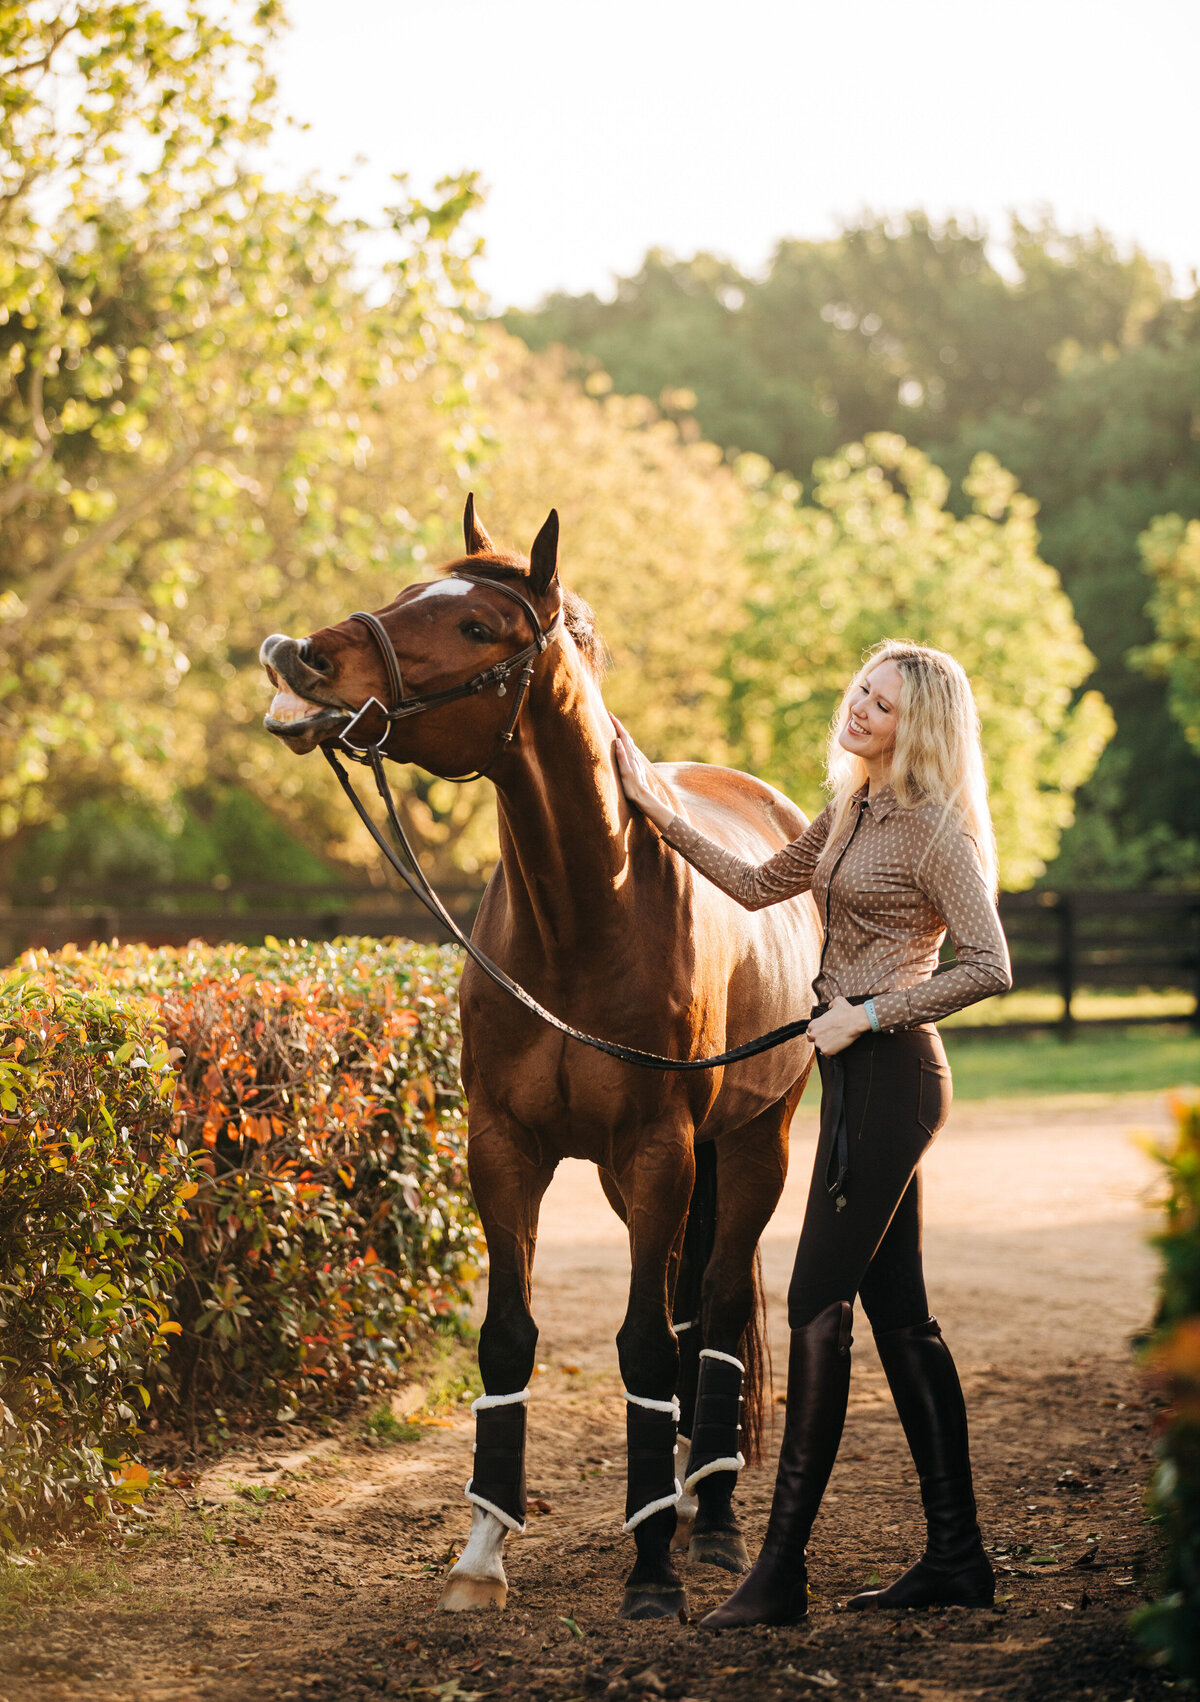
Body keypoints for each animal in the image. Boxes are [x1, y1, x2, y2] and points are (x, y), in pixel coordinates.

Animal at [260, 496, 823, 1613]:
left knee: (718, 1309)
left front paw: (653, 1568)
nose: (304, 659)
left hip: (750, 1148)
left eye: (477, 624)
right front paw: (483, 1552)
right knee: (690, 1311)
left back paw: (712, 1520)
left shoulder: (658, 1152)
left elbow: (643, 1342)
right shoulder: (505, 1151)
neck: (584, 917)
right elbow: (510, 1336)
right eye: (409, 591)